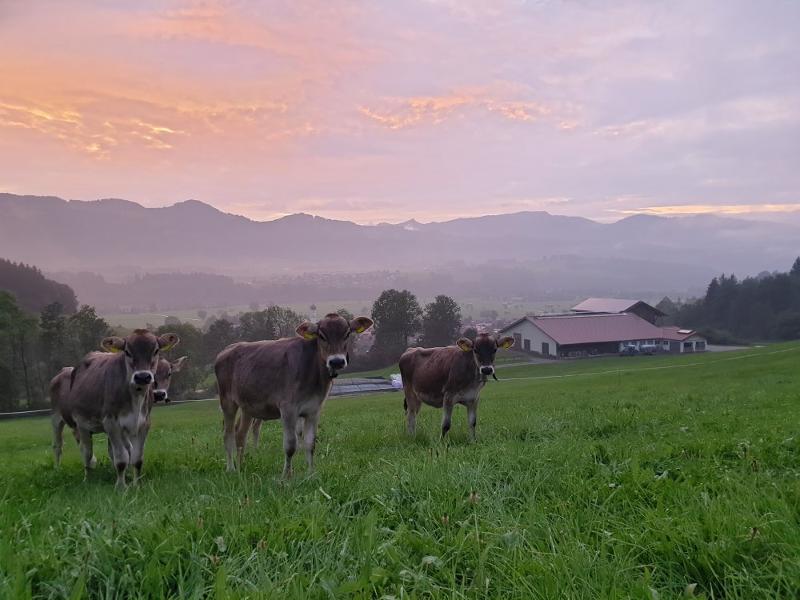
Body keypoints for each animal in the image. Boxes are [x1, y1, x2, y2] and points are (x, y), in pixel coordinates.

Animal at [56, 328, 180, 488]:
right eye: (127, 351)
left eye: (156, 350)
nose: (142, 377)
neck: (135, 399)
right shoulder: (111, 423)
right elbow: (121, 459)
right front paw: (121, 487)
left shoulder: (143, 424)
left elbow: (136, 458)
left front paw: (136, 484)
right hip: (79, 424)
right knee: (85, 453)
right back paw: (87, 479)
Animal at [214, 314, 374, 478]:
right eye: (321, 335)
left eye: (347, 333)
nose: (336, 361)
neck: (314, 377)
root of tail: (226, 349)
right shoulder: (288, 409)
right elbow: (291, 445)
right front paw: (286, 476)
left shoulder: (314, 410)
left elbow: (310, 443)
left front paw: (311, 474)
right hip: (227, 401)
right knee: (228, 434)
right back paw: (231, 469)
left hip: (248, 406)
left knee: (240, 434)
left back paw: (241, 467)